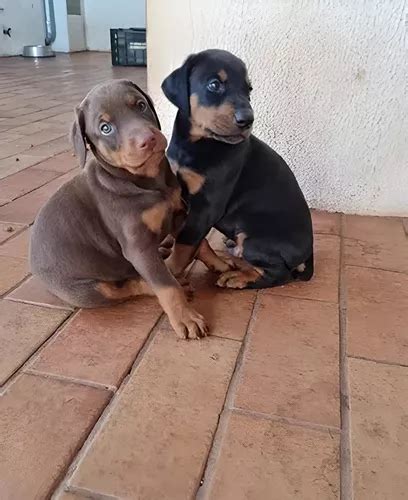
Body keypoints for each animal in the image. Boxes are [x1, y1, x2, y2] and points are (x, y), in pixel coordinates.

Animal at [28, 80, 209, 340]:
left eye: (141, 105)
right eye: (105, 128)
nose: (148, 139)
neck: (148, 181)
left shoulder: (178, 213)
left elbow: (198, 242)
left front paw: (223, 264)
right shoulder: (137, 246)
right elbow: (166, 286)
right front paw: (185, 317)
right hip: (88, 290)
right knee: (130, 285)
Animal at [161, 49, 314, 290]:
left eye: (248, 89)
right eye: (214, 84)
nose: (248, 120)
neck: (198, 143)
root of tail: (309, 253)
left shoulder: (207, 207)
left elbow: (185, 243)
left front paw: (170, 271)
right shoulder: (181, 194)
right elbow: (189, 236)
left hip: (254, 238)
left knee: (277, 273)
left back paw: (238, 278)